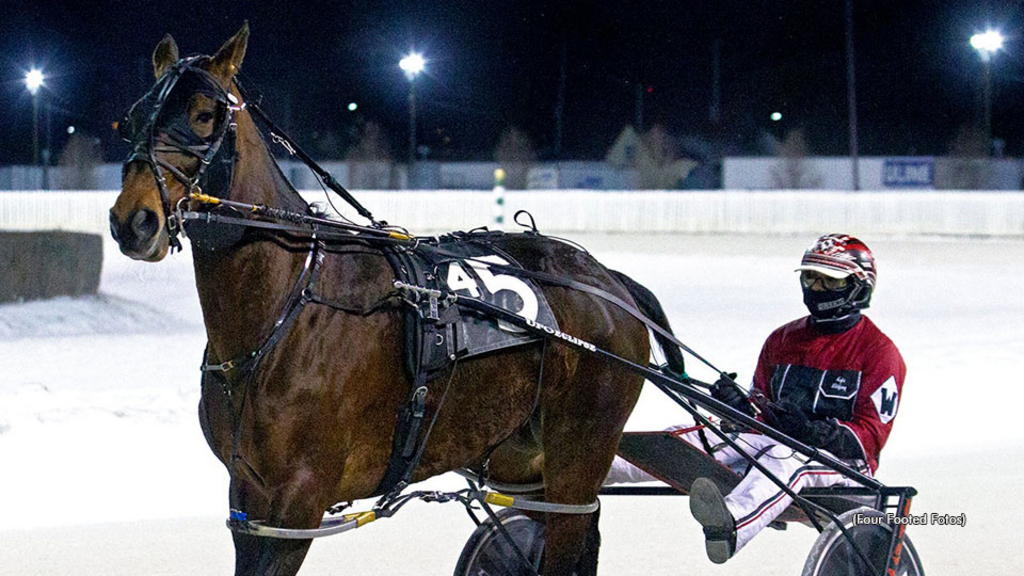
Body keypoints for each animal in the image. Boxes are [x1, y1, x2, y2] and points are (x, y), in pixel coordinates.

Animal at [108, 25, 679, 573]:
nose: (132, 221)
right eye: (132, 118)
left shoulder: (297, 501)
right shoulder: (247, 497)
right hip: (523, 458)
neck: (286, 309)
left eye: (204, 115)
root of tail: (607, 281)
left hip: (579, 452)